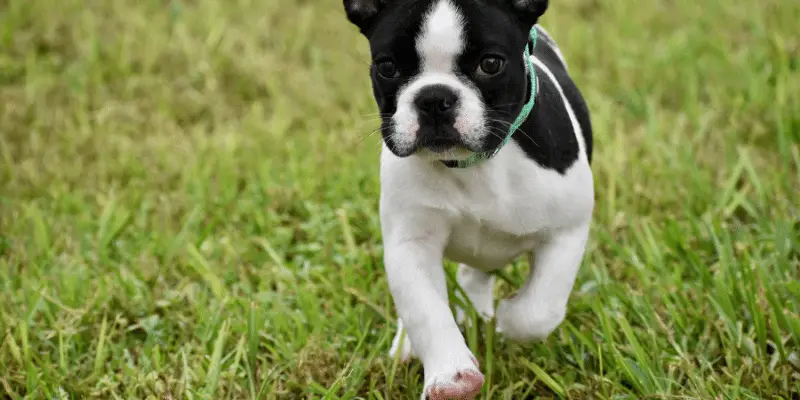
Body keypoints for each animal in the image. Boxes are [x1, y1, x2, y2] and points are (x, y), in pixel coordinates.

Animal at [340, 1, 592, 398]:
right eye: (387, 67)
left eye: (490, 64)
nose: (433, 98)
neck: (472, 163)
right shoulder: (410, 244)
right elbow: (425, 309)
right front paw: (450, 374)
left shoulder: (567, 231)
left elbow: (539, 310)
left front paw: (510, 317)